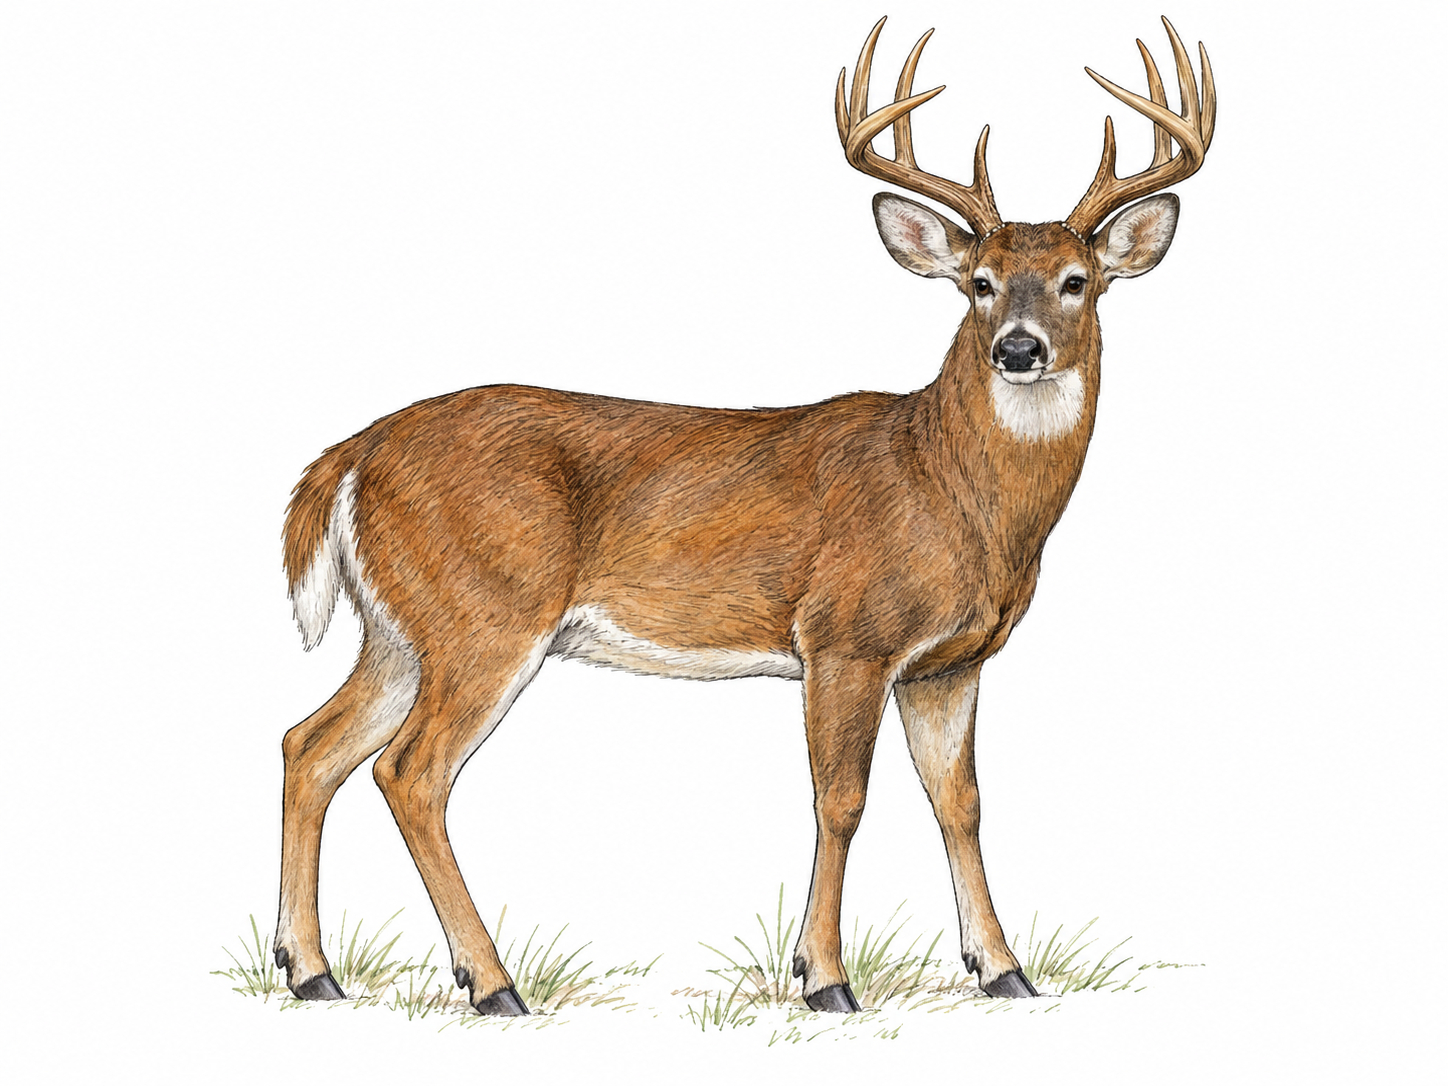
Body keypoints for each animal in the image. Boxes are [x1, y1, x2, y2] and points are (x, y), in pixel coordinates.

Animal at [272, 16, 1215, 1015]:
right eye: (980, 282)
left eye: (1077, 280)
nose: (1020, 349)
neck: (950, 487)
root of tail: (354, 452)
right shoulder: (844, 637)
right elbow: (842, 800)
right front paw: (825, 978)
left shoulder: (950, 663)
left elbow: (959, 802)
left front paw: (1003, 969)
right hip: (483, 614)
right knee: (409, 772)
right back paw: (491, 983)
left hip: (399, 630)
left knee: (311, 745)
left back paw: (312, 970)